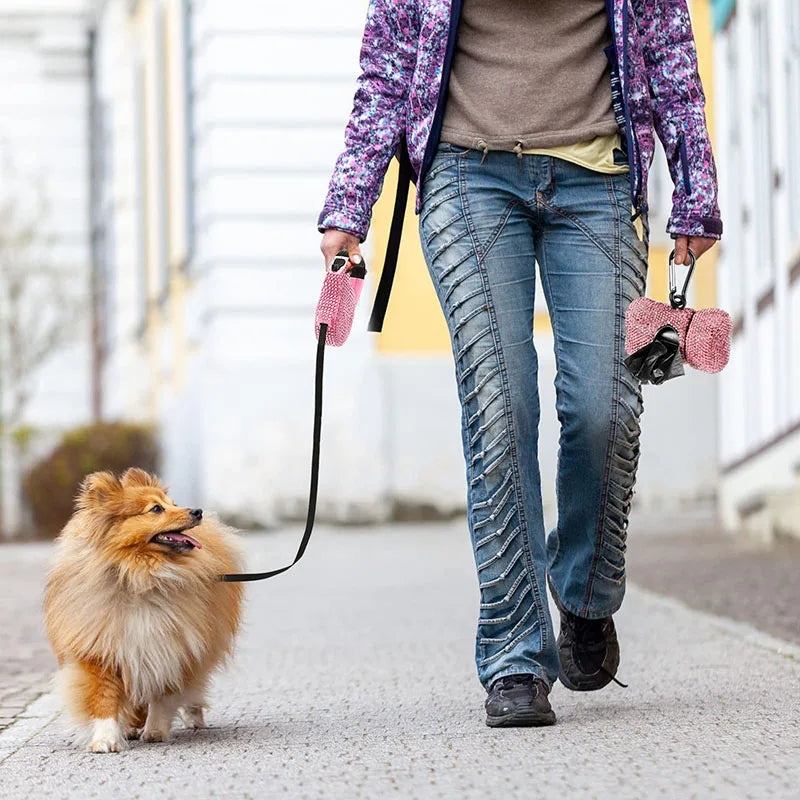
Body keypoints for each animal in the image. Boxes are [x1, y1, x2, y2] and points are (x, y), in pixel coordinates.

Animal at [43, 466, 242, 752]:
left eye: (173, 503)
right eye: (156, 509)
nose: (197, 511)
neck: (139, 576)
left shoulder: (170, 649)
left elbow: (162, 695)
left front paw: (155, 730)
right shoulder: (102, 650)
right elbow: (104, 698)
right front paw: (106, 739)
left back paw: (191, 719)